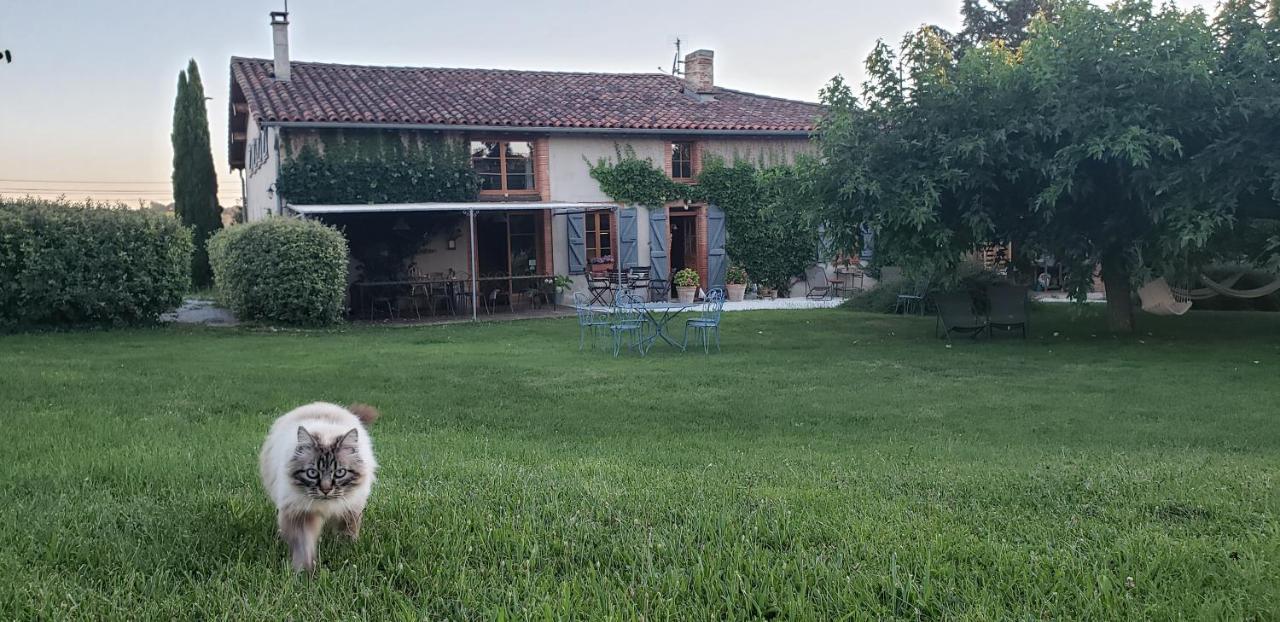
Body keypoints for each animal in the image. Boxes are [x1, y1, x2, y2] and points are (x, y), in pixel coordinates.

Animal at [258, 401, 378, 570]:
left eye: (339, 473)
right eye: (312, 473)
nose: (326, 489)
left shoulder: (350, 508)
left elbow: (347, 533)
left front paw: (346, 550)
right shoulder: (299, 512)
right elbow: (304, 544)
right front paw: (305, 569)